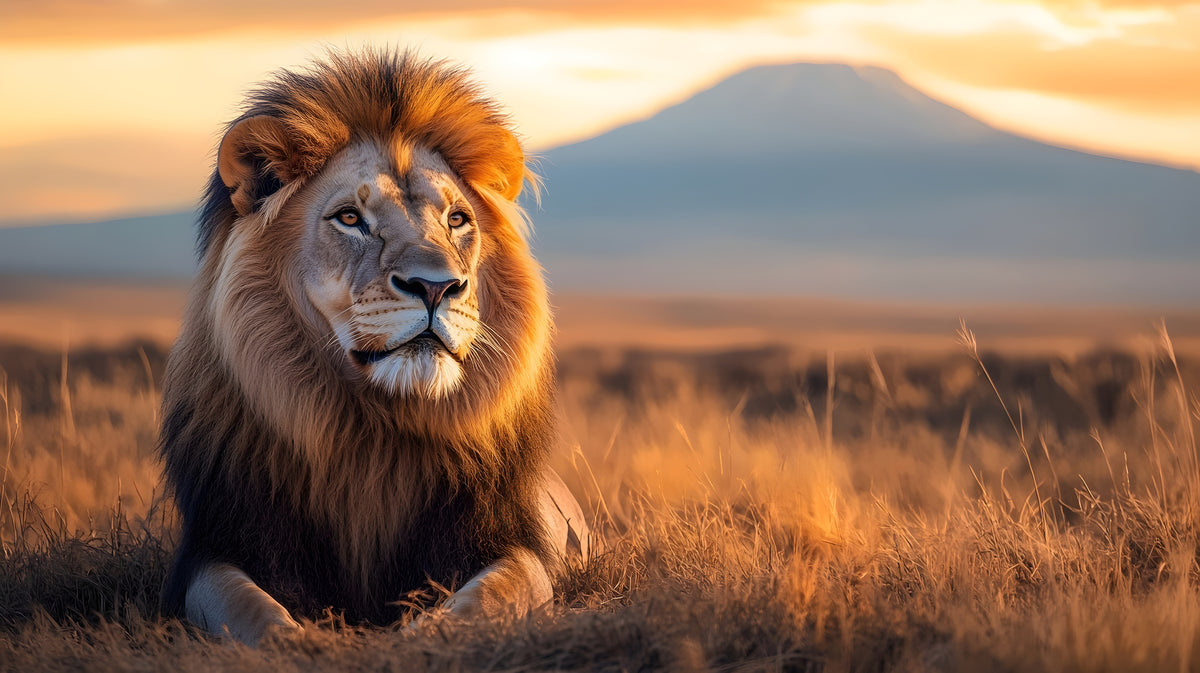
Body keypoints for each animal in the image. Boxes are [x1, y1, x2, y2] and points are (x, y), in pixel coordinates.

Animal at [158, 49, 589, 645]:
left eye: (457, 220)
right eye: (350, 218)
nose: (436, 287)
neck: (374, 430)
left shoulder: (509, 542)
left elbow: (489, 597)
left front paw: (421, 636)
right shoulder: (219, 547)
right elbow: (251, 610)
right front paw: (304, 642)